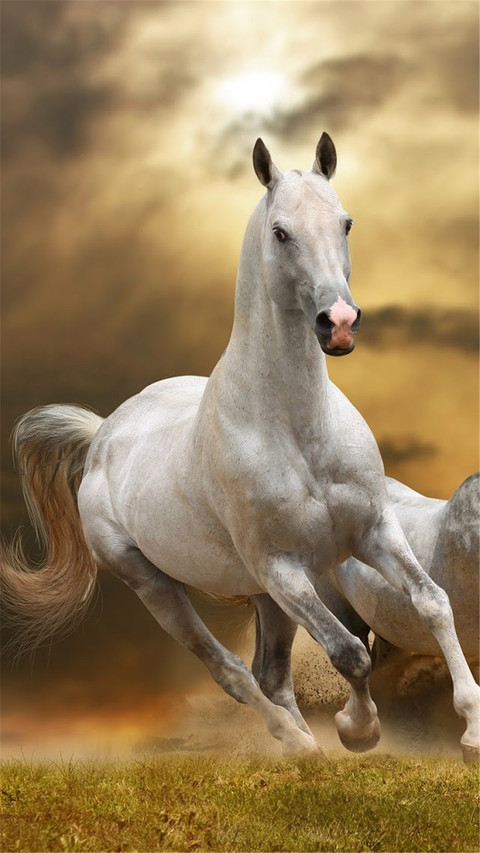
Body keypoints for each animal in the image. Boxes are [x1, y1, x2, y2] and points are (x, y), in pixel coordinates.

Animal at [3, 134, 479, 761]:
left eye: (346, 222)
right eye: (280, 231)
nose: (339, 323)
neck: (299, 431)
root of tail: (105, 432)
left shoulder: (372, 533)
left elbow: (432, 602)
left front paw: (472, 728)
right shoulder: (282, 566)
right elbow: (350, 651)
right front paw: (358, 730)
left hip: (265, 597)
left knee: (269, 672)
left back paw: (305, 745)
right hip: (159, 585)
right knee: (230, 670)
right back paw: (298, 743)